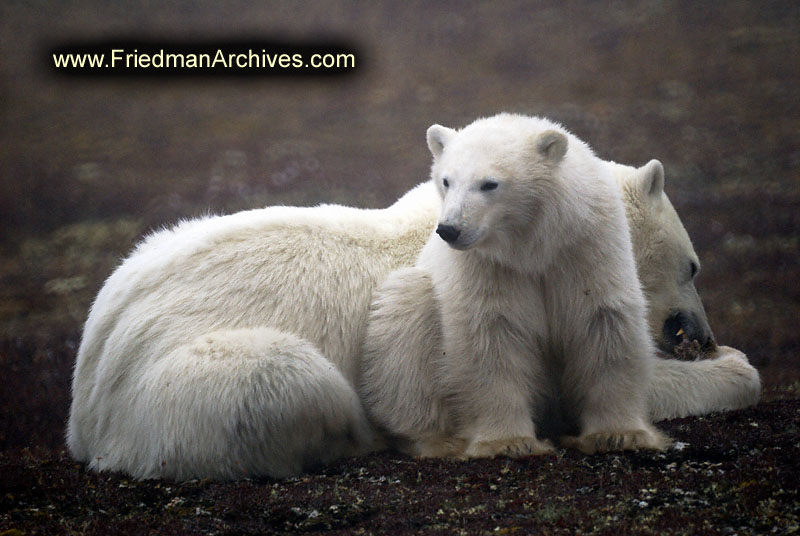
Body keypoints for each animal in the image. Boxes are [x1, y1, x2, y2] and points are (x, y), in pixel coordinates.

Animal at [67, 115, 756, 480]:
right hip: (175, 390)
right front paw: (733, 367)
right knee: (287, 378)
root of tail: (86, 415)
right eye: (694, 265)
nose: (700, 334)